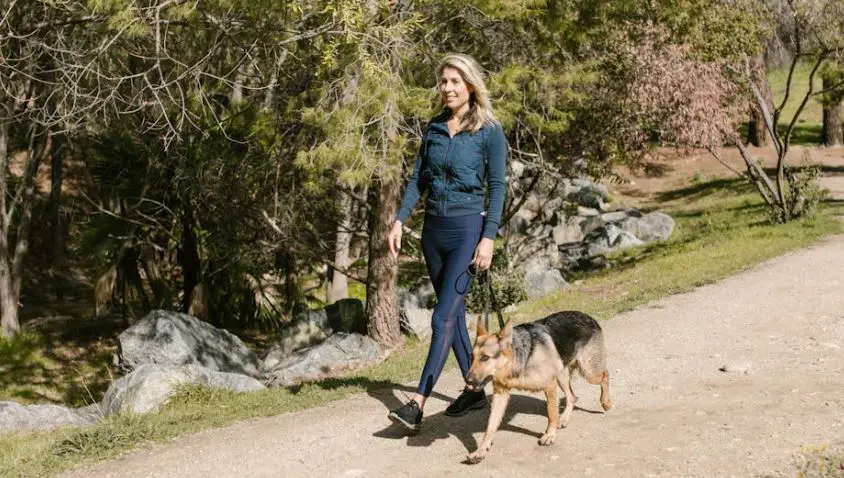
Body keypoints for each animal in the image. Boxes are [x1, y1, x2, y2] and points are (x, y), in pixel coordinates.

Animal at [464, 310, 608, 464]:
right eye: (472, 357)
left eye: (485, 358)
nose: (467, 380)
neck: (518, 359)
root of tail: (587, 316)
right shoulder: (500, 395)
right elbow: (490, 426)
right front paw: (480, 451)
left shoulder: (549, 386)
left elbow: (551, 413)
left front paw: (549, 435)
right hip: (562, 375)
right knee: (572, 397)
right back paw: (563, 419)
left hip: (588, 372)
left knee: (605, 375)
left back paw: (605, 402)